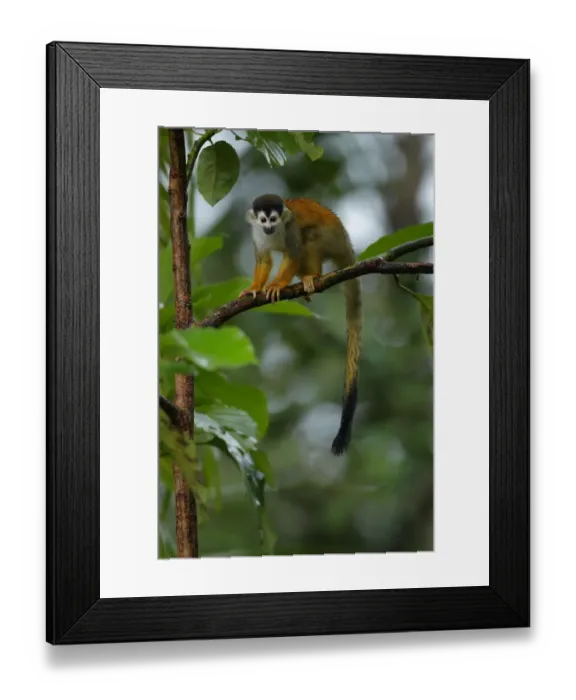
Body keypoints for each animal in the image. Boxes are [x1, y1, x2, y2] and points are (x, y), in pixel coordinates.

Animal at [239, 194, 362, 456]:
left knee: (309, 238)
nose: (268, 227)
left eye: (274, 220)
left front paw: (276, 285)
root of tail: (347, 242)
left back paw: (312, 276)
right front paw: (255, 287)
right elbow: (264, 259)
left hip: (332, 239)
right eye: (263, 220)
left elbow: (293, 254)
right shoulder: (256, 234)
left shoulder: (290, 228)